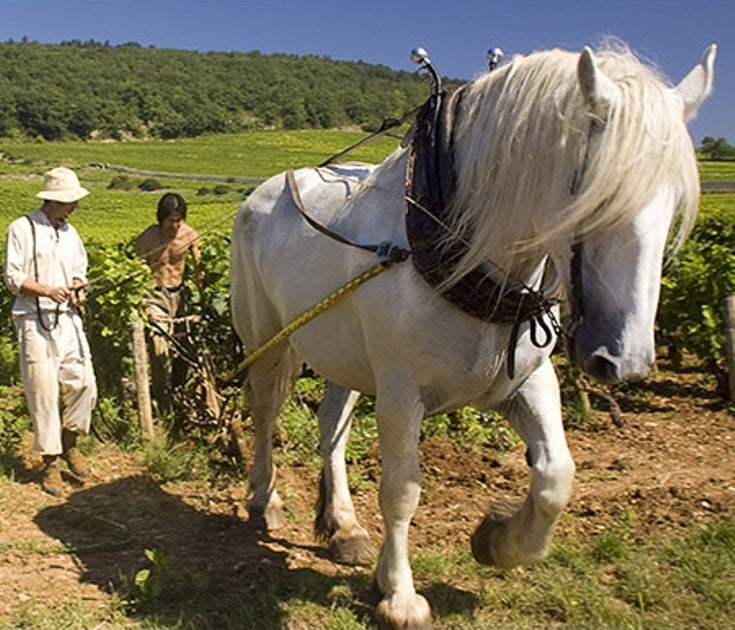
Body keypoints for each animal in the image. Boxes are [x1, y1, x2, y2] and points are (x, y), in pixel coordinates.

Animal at [230, 42, 712, 628]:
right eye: (596, 198)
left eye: (675, 205)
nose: (625, 360)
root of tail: (265, 191)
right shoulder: (400, 393)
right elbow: (402, 490)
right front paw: (400, 596)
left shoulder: (527, 383)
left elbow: (556, 475)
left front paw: (498, 541)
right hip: (268, 340)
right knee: (265, 412)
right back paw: (266, 500)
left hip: (343, 351)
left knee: (331, 428)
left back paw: (344, 527)